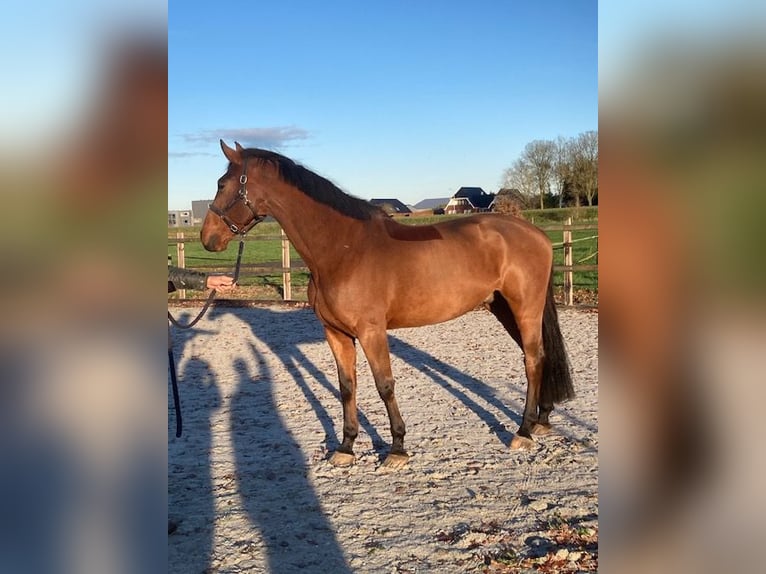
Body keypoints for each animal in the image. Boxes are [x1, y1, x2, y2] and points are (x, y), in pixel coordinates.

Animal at [201, 140, 575, 469]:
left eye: (222, 184)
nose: (208, 238)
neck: (343, 250)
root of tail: (536, 234)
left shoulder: (371, 332)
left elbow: (384, 385)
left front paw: (397, 448)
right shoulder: (336, 333)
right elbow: (347, 387)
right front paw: (346, 447)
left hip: (524, 308)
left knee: (531, 360)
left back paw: (523, 431)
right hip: (504, 309)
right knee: (540, 357)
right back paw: (541, 419)